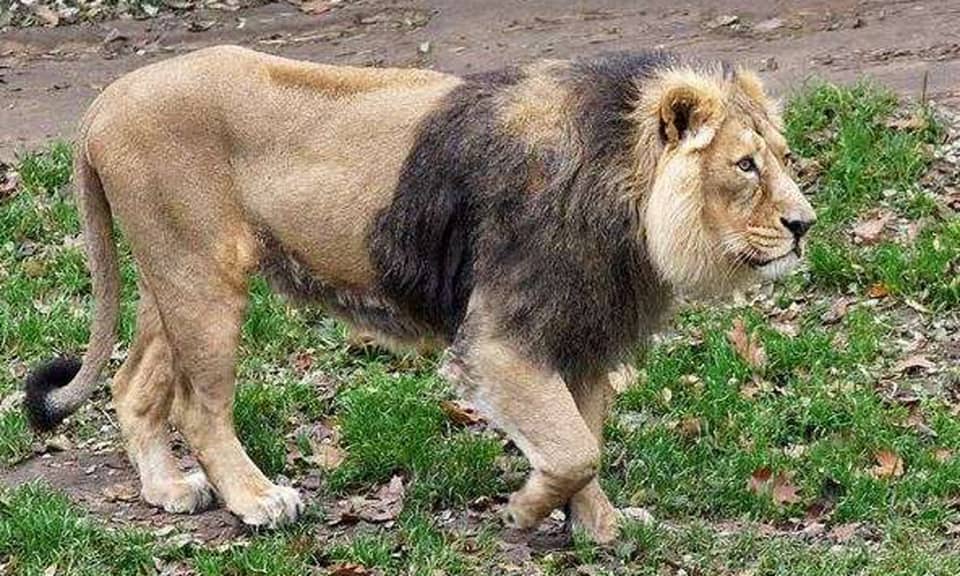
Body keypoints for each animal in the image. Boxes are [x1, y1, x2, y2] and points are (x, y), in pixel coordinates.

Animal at [24, 46, 815, 543]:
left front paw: (604, 529)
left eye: (783, 158)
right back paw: (258, 500)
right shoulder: (501, 340)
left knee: (132, 384)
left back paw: (167, 489)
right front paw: (524, 512)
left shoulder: (580, 333)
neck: (627, 196)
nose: (805, 224)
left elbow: (585, 442)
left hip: (175, 276)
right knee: (199, 405)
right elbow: (570, 450)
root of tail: (104, 101)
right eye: (744, 166)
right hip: (201, 277)